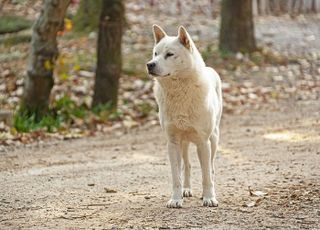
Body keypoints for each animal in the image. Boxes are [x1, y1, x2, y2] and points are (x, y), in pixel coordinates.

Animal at [148, 25, 222, 208]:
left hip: (214, 139)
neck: (179, 92)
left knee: (210, 168)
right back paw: (186, 190)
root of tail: (210, 69)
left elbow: (206, 175)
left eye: (169, 54)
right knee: (187, 166)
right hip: (184, 143)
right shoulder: (172, 142)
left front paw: (209, 198)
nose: (149, 65)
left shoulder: (203, 142)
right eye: (155, 53)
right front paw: (176, 199)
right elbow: (176, 177)